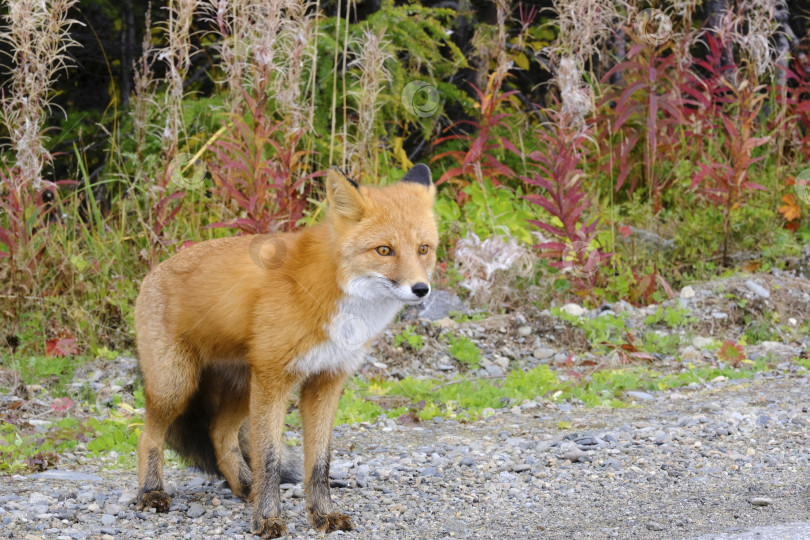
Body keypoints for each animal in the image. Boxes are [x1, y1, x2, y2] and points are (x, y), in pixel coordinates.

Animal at [133, 165, 436, 536]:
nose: (421, 289)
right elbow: (269, 459)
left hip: (241, 388)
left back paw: (245, 487)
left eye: (423, 249)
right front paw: (267, 519)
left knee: (219, 434)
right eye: (384, 250)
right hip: (176, 386)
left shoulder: (326, 381)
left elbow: (319, 463)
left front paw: (323, 516)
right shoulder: (274, 379)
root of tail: (153, 271)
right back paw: (151, 492)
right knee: (148, 435)